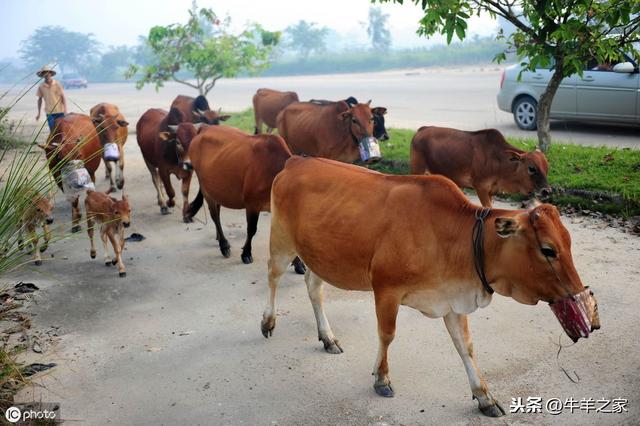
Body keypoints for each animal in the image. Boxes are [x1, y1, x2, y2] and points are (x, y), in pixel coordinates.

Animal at [186, 126, 304, 272]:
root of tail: (204, 128)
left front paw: (298, 264)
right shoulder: (252, 204)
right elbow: (251, 229)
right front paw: (246, 253)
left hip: (216, 190)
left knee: (217, 212)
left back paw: (218, 237)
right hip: (206, 189)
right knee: (215, 216)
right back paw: (224, 245)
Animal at [262, 156, 600, 416]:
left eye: (568, 243)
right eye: (548, 249)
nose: (582, 300)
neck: (455, 238)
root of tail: (297, 160)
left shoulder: (453, 300)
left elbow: (466, 347)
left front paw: (484, 397)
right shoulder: (386, 289)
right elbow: (387, 335)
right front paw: (381, 379)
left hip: (320, 256)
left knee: (313, 288)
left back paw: (328, 337)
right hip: (282, 241)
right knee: (273, 276)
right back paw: (268, 321)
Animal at [412, 125, 552, 207]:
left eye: (547, 168)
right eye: (531, 168)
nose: (546, 191)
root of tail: (422, 129)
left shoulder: (491, 192)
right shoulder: (481, 188)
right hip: (418, 170)